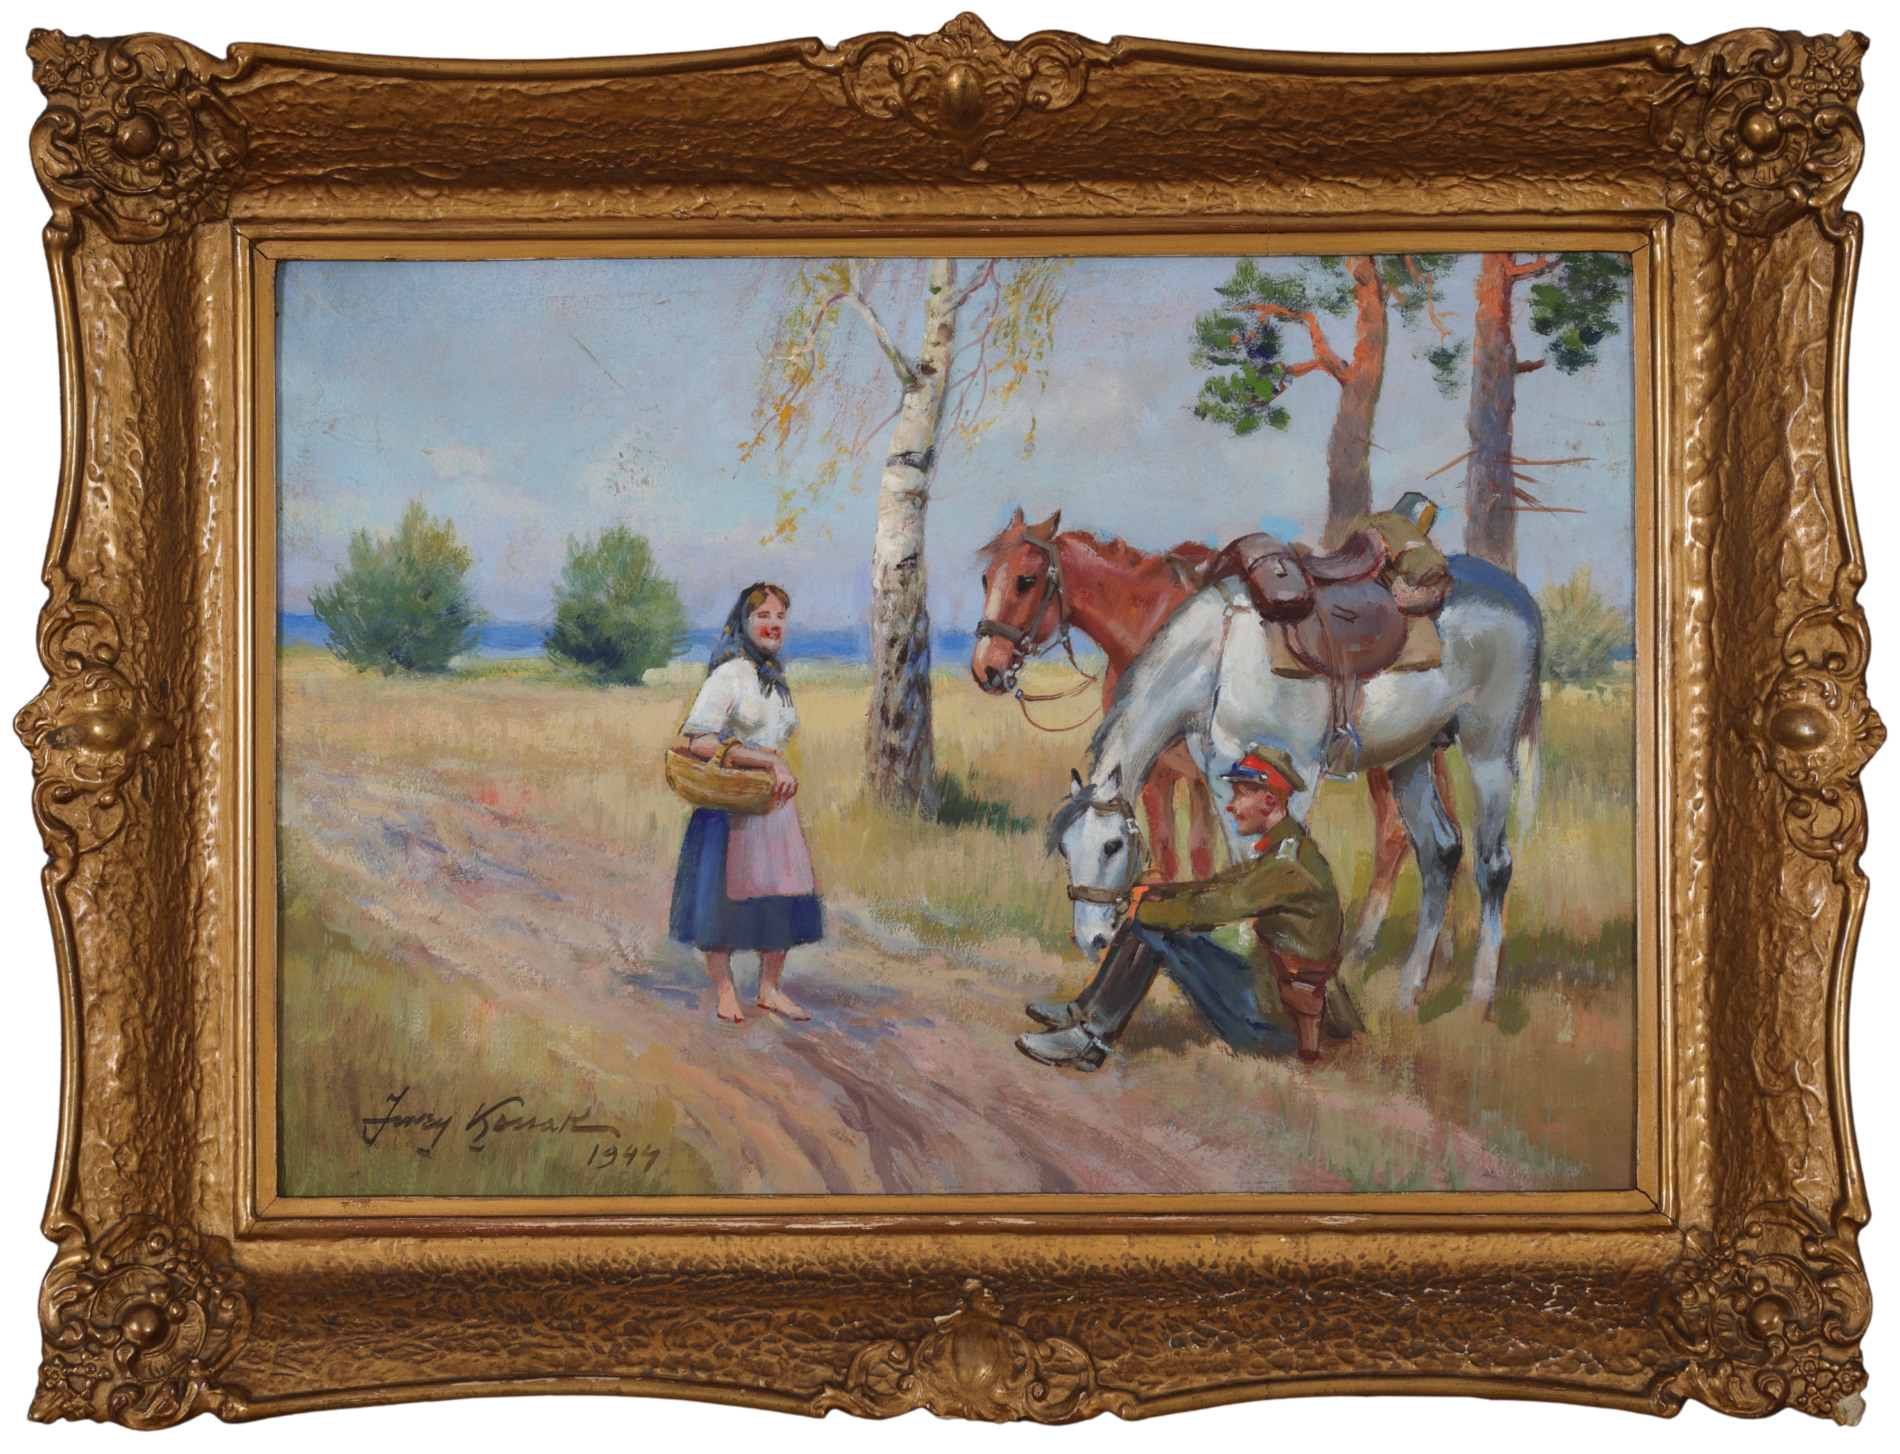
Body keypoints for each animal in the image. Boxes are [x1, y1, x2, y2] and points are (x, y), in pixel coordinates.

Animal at [971, 507, 1448, 978]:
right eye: (985, 578)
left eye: (1026, 579)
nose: (986, 669)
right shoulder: (1165, 773)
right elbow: (1168, 845)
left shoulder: (1204, 774)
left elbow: (1203, 850)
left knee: (1396, 836)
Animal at [1050, 555, 1542, 1013]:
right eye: (1065, 851)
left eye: (1112, 845)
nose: (1092, 939)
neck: (1222, 654)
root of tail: (1516, 595)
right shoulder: (1219, 776)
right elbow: (1237, 864)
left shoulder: (1293, 776)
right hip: (1412, 758)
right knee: (1439, 853)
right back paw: (1409, 992)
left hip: (1489, 753)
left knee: (1493, 865)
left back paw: (1480, 998)